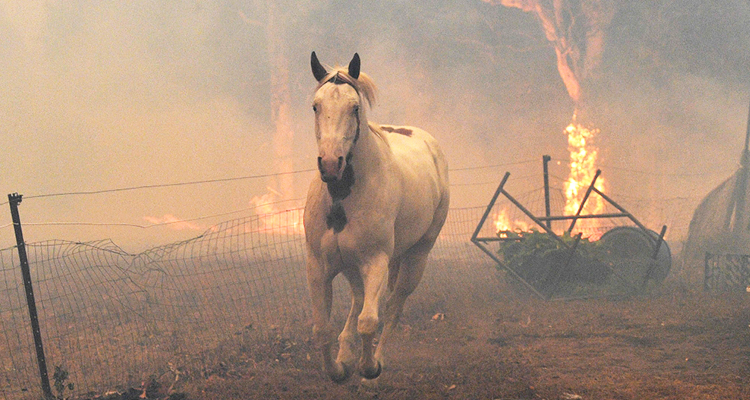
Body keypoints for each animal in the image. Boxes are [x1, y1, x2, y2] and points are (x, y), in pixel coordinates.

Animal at [304, 51, 452, 382]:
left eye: (354, 107)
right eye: (316, 106)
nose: (330, 164)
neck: (342, 198)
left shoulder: (376, 262)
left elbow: (369, 321)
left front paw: (368, 367)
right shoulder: (319, 266)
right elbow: (321, 329)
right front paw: (338, 369)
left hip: (416, 257)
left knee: (394, 306)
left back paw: (377, 358)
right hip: (352, 265)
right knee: (359, 300)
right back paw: (346, 353)